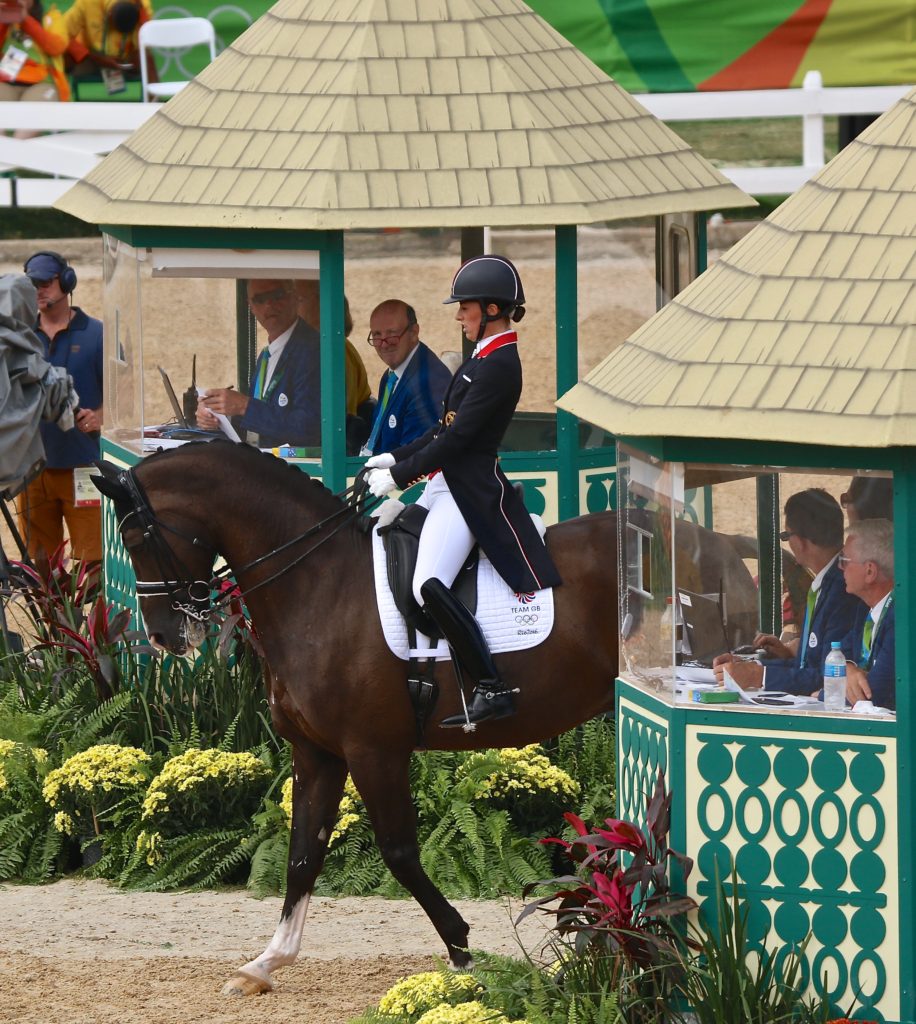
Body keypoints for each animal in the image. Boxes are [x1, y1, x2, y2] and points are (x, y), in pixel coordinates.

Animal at [93, 444, 618, 995]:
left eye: (135, 537)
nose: (163, 637)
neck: (320, 584)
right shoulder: (317, 751)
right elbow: (303, 854)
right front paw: (266, 962)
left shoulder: (373, 751)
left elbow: (399, 852)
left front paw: (462, 954)